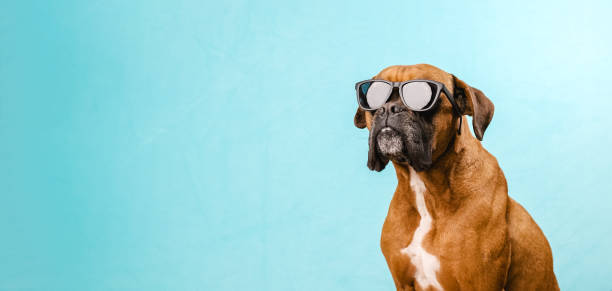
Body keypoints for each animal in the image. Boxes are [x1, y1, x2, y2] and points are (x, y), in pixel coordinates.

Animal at [354, 64, 560, 291]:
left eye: (421, 95)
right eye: (372, 96)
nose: (389, 108)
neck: (427, 193)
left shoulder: (480, 282)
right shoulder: (403, 283)